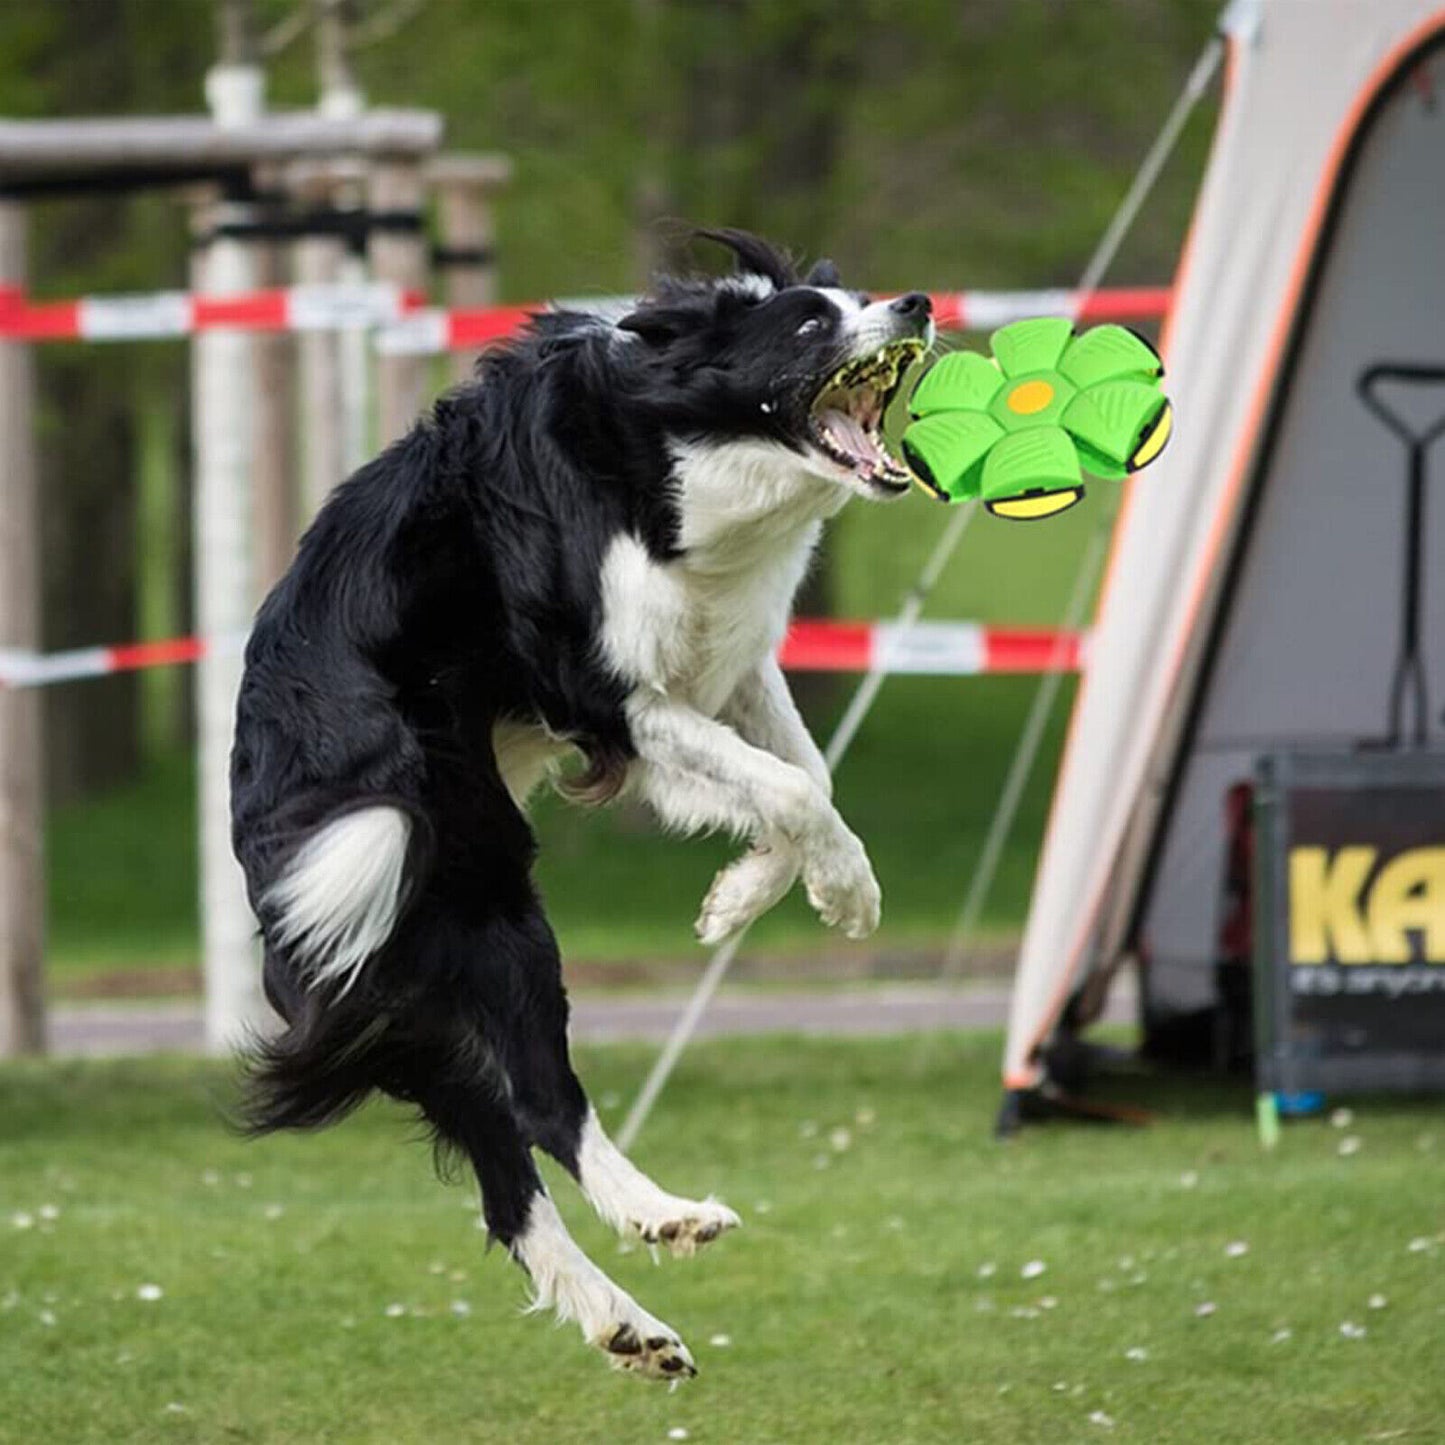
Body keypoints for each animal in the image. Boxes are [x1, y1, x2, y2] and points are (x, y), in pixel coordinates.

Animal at [231, 231, 930, 1381]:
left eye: (857, 298)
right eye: (807, 324)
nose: (916, 304)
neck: (658, 453)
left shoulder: (714, 659)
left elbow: (802, 776)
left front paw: (748, 897)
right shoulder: (599, 689)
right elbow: (787, 780)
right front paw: (837, 888)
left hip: (412, 987)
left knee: (507, 1181)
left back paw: (629, 1323)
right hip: (481, 905)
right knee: (545, 1104)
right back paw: (663, 1212)